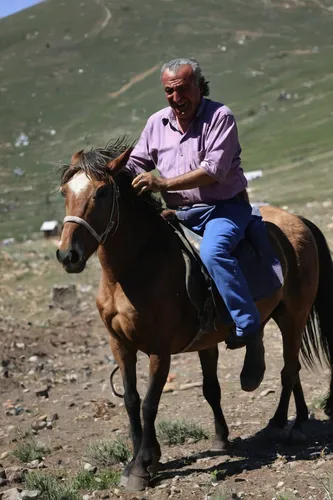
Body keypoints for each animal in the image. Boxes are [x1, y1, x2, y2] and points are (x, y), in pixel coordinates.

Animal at [55, 141, 332, 492]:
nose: (68, 255)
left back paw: (285, 424)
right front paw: (145, 457)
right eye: (65, 192)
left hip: (293, 316)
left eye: (102, 192)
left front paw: (142, 467)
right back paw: (291, 412)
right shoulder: (120, 345)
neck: (134, 269)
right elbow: (134, 399)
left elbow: (149, 402)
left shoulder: (159, 351)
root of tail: (297, 220)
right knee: (287, 366)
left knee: (289, 368)